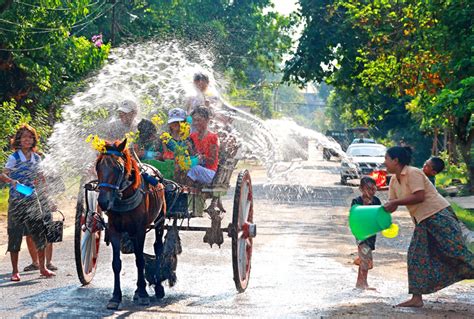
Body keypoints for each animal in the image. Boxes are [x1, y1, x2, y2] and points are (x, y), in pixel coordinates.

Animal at [94, 140, 167, 310]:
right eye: (98, 167)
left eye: (118, 168)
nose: (103, 202)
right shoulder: (114, 230)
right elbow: (116, 264)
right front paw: (116, 296)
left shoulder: (139, 230)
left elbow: (140, 261)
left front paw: (143, 294)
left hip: (160, 220)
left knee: (158, 247)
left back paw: (158, 287)